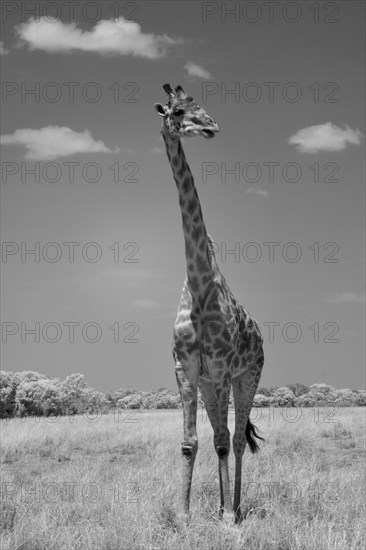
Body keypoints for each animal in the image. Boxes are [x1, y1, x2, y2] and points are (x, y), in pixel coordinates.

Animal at [154, 84, 264, 524]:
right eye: (178, 112)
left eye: (200, 105)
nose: (211, 126)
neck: (199, 285)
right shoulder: (187, 369)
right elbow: (189, 442)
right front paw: (183, 518)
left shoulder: (220, 369)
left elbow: (223, 439)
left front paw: (229, 518)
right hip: (210, 382)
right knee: (220, 437)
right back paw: (220, 507)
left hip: (247, 375)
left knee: (234, 439)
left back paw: (232, 510)